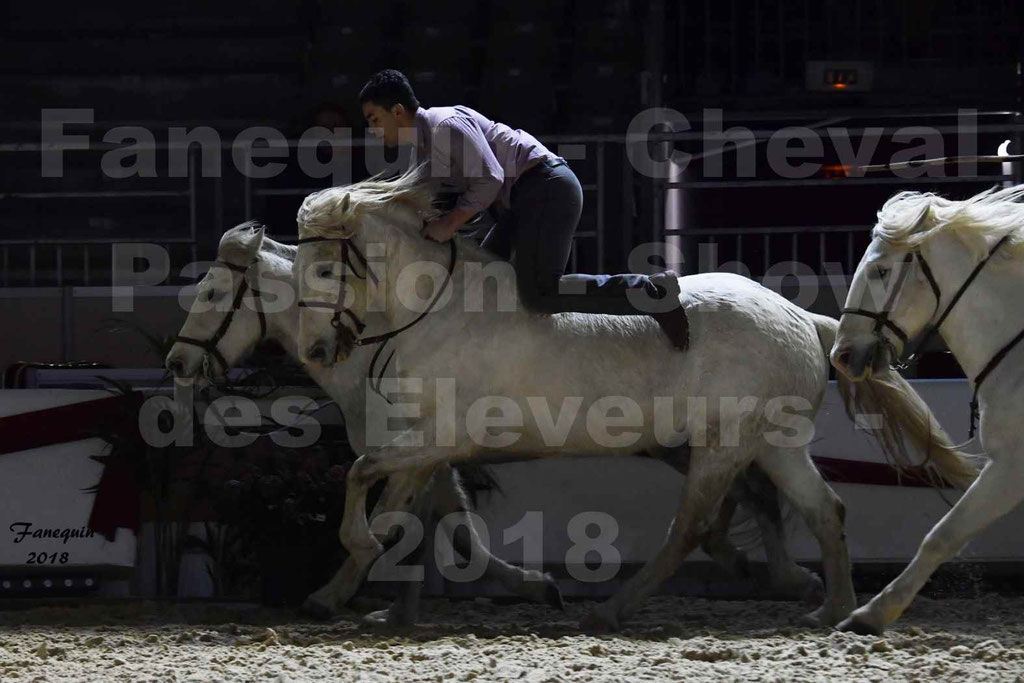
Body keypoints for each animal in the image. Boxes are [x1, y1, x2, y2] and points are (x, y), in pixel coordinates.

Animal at [165, 225, 823, 626]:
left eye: (214, 292)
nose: (177, 363)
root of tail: (790, 310)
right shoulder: (427, 454)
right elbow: (436, 528)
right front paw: (396, 609)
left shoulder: (420, 447)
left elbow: (409, 524)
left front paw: (336, 595)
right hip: (699, 443)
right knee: (753, 496)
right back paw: (777, 574)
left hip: (719, 438)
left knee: (737, 503)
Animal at [290, 172, 974, 630]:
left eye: (325, 270)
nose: (318, 350)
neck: (440, 310)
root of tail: (802, 316)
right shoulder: (422, 443)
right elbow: (395, 511)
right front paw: (333, 594)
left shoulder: (443, 437)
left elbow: (362, 475)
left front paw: (353, 562)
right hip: (772, 442)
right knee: (824, 508)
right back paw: (831, 606)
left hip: (724, 444)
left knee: (694, 524)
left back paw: (613, 608)